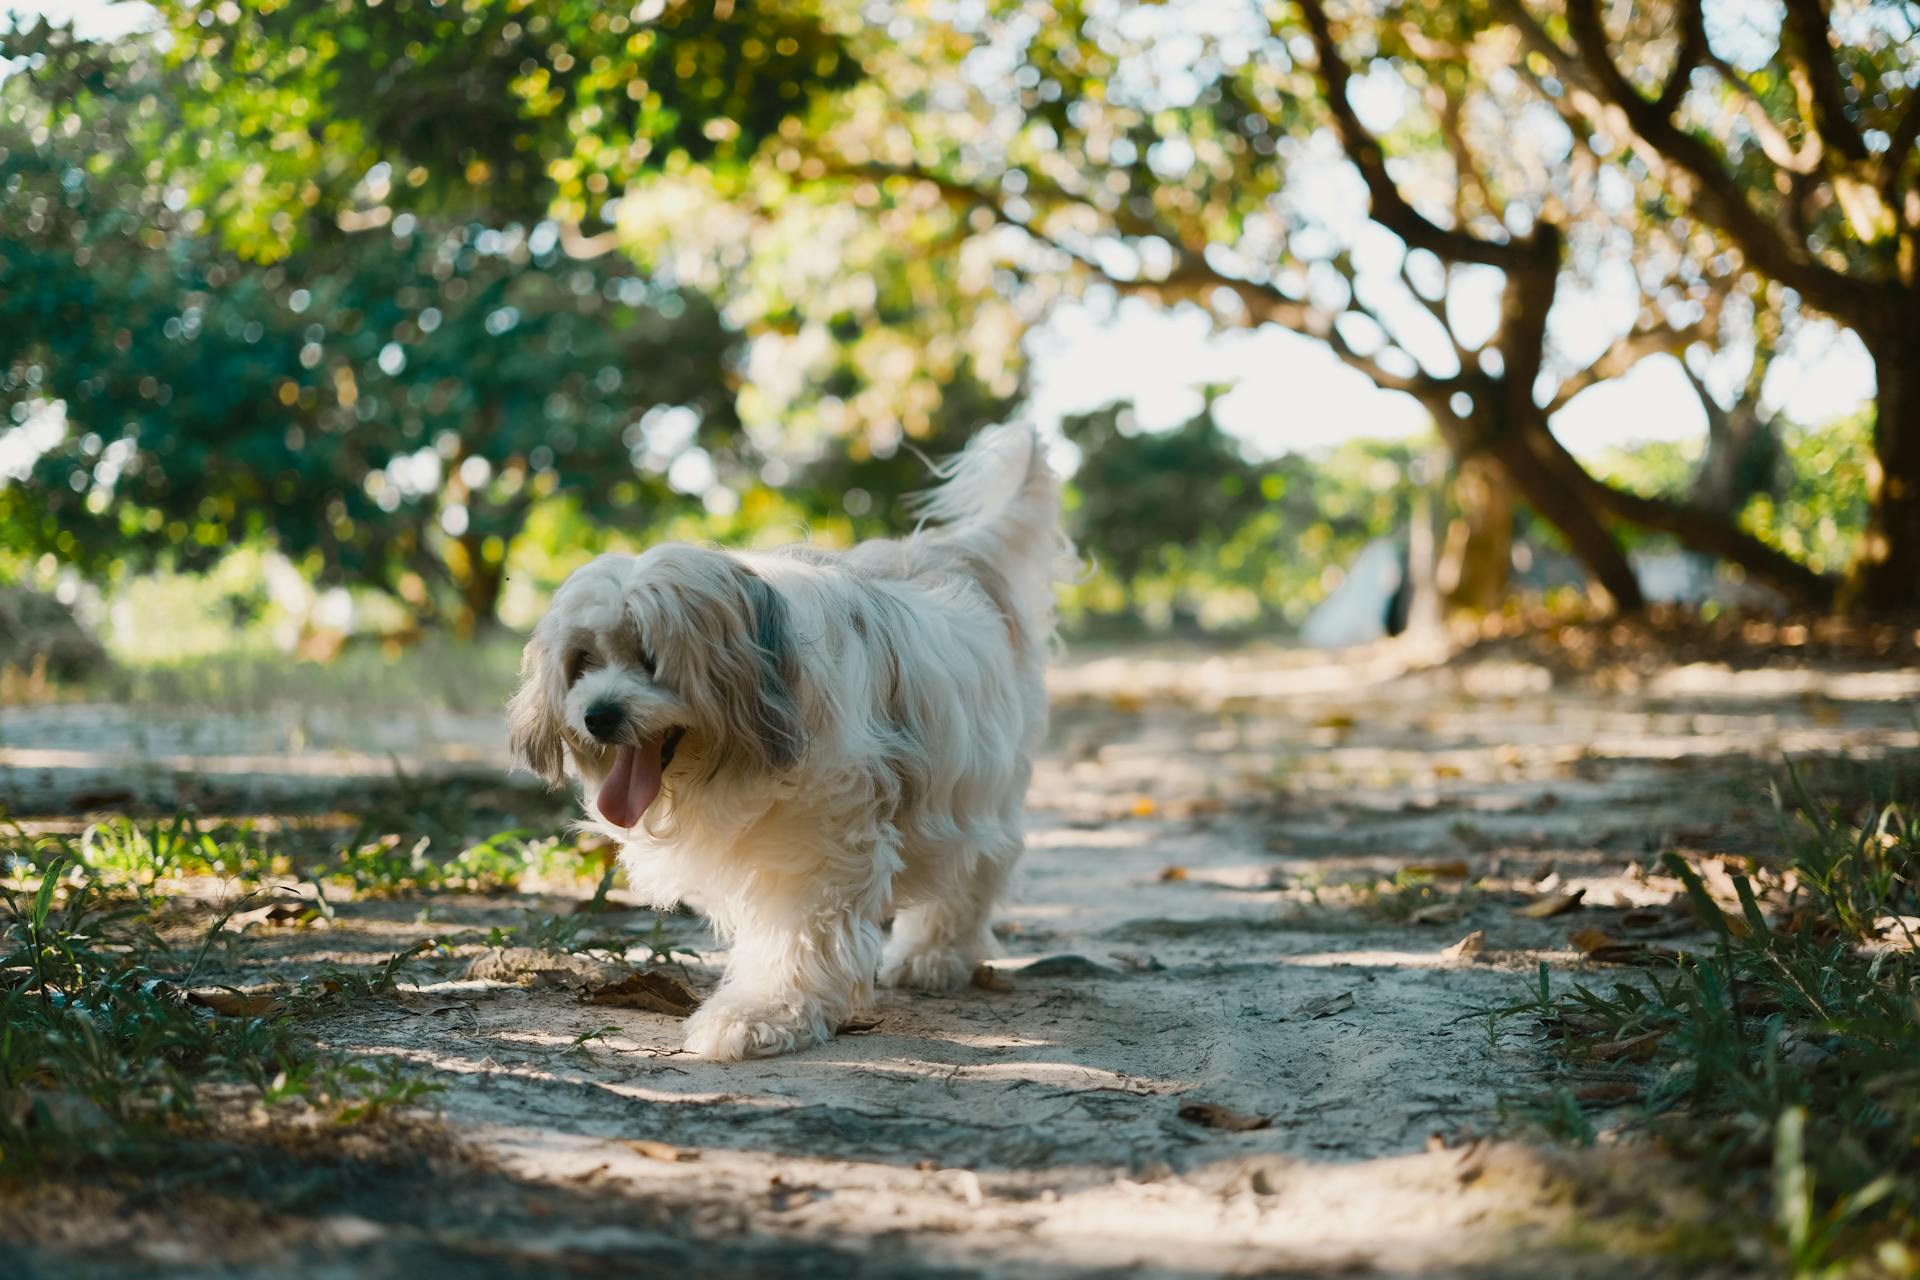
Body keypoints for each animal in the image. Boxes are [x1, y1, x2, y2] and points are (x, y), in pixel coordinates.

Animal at [506, 429, 1067, 1059]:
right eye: (583, 661)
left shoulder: (823, 837)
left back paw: (936, 954)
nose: (598, 715)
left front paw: (763, 1013)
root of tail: (954, 555)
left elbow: (799, 931)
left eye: (650, 657)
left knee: (978, 867)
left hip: (977, 781)